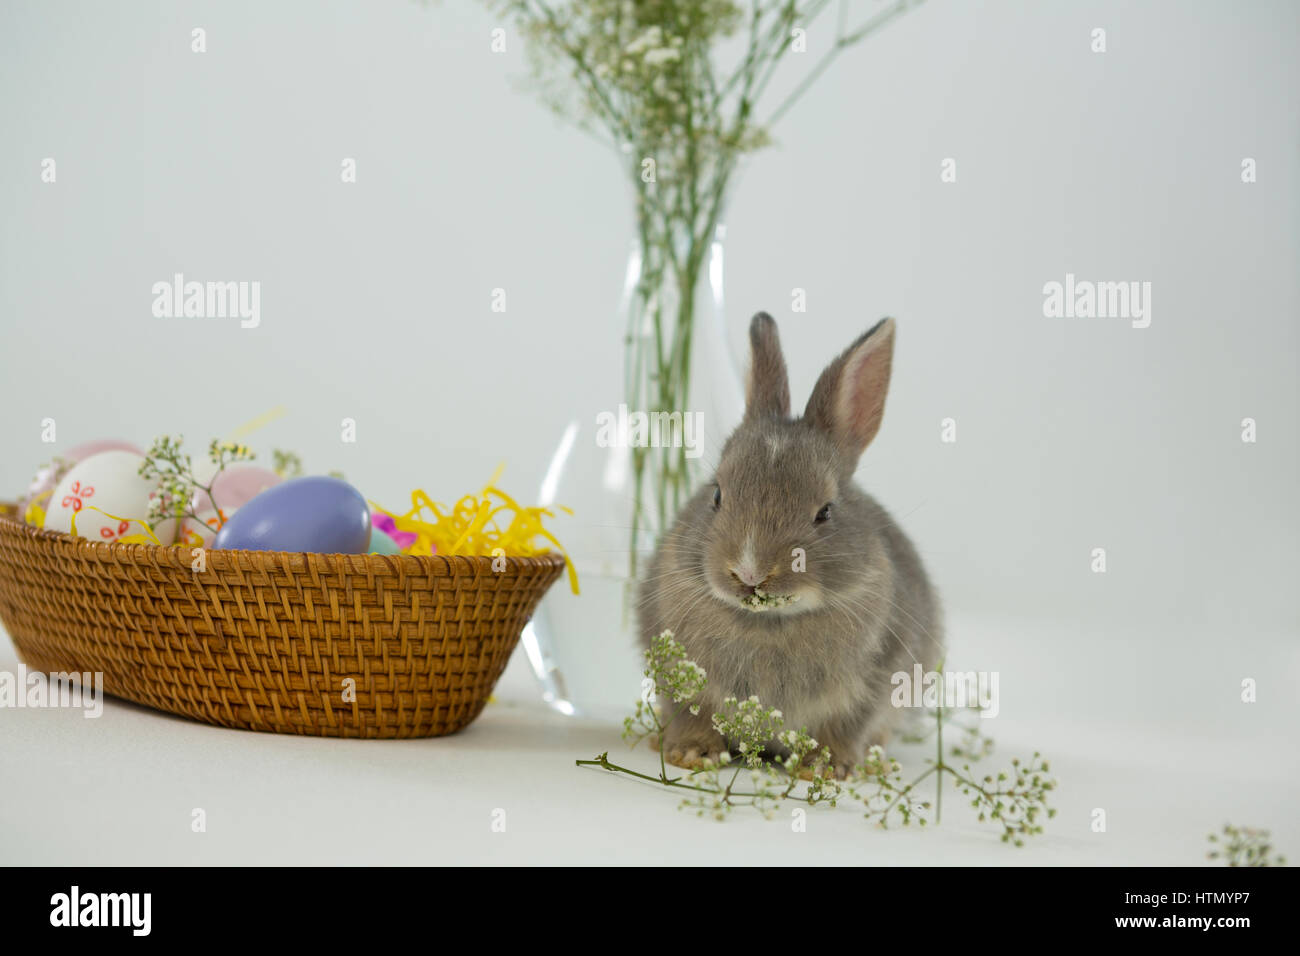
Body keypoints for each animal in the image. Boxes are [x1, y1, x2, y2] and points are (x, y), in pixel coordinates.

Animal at [637, 312, 944, 778]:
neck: (768, 621)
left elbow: (845, 728)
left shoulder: (871, 686)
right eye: (716, 495)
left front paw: (826, 768)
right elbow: (690, 713)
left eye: (825, 512)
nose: (749, 572)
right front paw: (691, 753)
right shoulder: (678, 675)